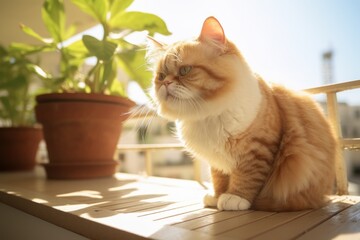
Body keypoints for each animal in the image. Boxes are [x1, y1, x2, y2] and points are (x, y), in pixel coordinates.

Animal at [146, 16, 338, 212]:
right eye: (161, 76)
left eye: (185, 70)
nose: (165, 83)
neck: (207, 113)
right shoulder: (217, 161)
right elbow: (219, 179)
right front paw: (217, 196)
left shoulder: (257, 150)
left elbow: (247, 178)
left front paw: (234, 198)